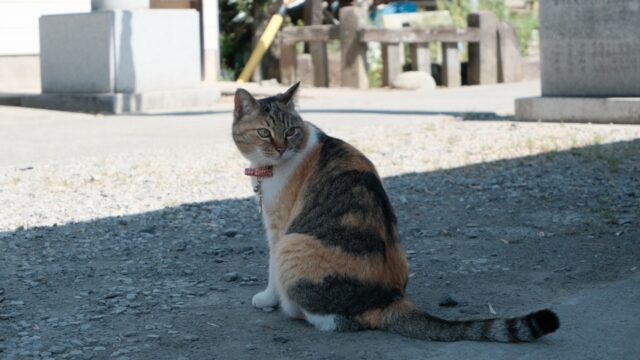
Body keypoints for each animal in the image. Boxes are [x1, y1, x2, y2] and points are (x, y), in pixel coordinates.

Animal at [232, 82, 556, 344]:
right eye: (264, 132)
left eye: (291, 131)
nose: (281, 148)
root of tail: (389, 299)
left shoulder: (277, 229)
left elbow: (271, 270)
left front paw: (267, 298)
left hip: (293, 243)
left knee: (332, 320)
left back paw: (291, 309)